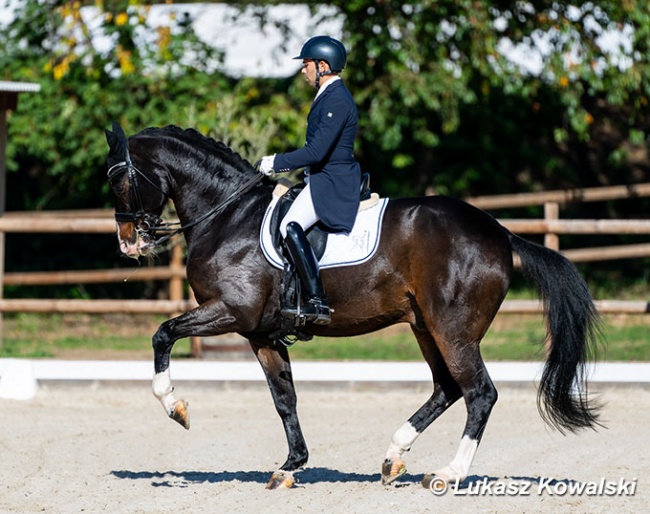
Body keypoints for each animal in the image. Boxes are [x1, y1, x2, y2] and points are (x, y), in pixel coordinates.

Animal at [104, 123, 600, 488]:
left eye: (121, 179)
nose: (128, 244)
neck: (228, 216)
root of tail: (499, 232)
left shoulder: (230, 311)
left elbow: (163, 334)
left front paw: (176, 407)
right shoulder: (260, 332)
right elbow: (284, 398)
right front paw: (290, 466)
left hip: (453, 329)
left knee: (479, 392)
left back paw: (449, 473)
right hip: (425, 326)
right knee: (447, 388)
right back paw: (394, 456)